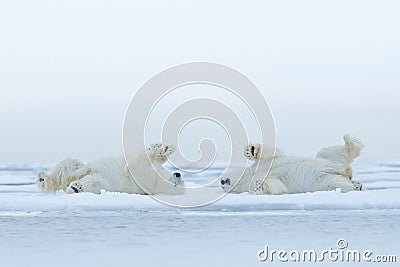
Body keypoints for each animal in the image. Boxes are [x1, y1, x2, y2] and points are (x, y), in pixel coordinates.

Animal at [36, 144, 184, 195]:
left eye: (177, 184)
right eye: (181, 180)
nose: (178, 174)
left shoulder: (146, 179)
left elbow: (136, 167)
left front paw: (154, 150)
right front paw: (164, 149)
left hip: (102, 183)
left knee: (90, 182)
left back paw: (75, 186)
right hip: (78, 166)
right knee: (69, 165)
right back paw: (43, 177)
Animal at [220, 136, 364, 195]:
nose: (222, 181)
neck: (249, 176)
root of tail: (346, 172)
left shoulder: (262, 165)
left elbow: (272, 155)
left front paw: (251, 150)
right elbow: (277, 186)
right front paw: (260, 185)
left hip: (328, 160)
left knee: (330, 152)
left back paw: (349, 141)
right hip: (322, 182)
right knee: (337, 184)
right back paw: (356, 185)